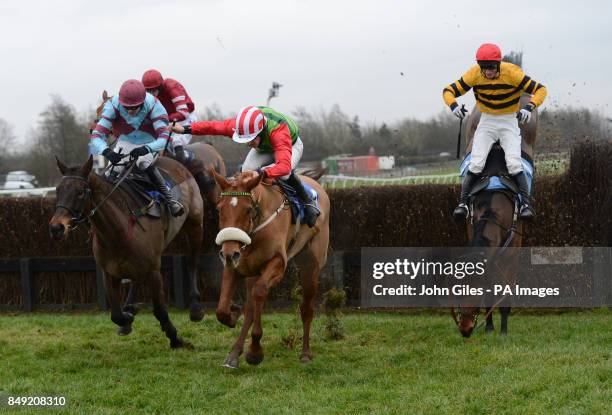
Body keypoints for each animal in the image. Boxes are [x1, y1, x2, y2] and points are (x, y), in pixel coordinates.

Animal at [49, 156, 204, 348]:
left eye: (80, 192)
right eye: (58, 190)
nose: (56, 228)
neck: (118, 231)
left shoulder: (153, 271)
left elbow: (160, 310)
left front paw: (175, 338)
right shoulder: (109, 272)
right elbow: (116, 315)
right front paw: (128, 316)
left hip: (195, 225)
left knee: (192, 262)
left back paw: (196, 308)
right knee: (135, 279)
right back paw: (130, 309)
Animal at [209, 171, 330, 368]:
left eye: (248, 209)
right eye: (220, 209)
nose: (229, 253)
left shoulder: (278, 263)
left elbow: (259, 292)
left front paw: (255, 351)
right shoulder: (235, 266)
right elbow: (222, 310)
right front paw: (233, 314)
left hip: (311, 265)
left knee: (306, 308)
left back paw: (305, 353)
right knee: (250, 309)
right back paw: (234, 354)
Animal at [452, 92, 536, 336]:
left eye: (475, 290)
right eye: (457, 289)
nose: (465, 328)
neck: (493, 207)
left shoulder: (512, 253)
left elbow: (506, 292)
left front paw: (503, 330)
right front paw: (489, 327)